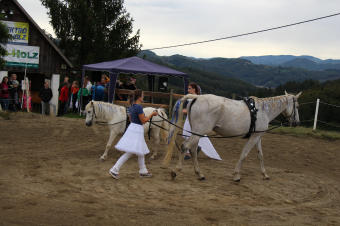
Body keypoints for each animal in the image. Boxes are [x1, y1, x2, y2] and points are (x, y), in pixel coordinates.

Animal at [166, 91, 302, 181]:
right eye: (297, 106)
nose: (297, 123)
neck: (263, 111)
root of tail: (196, 97)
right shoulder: (253, 137)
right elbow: (244, 154)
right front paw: (237, 175)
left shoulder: (257, 137)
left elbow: (260, 155)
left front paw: (265, 174)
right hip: (199, 131)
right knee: (185, 146)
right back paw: (175, 171)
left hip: (197, 132)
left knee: (193, 149)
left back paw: (199, 174)